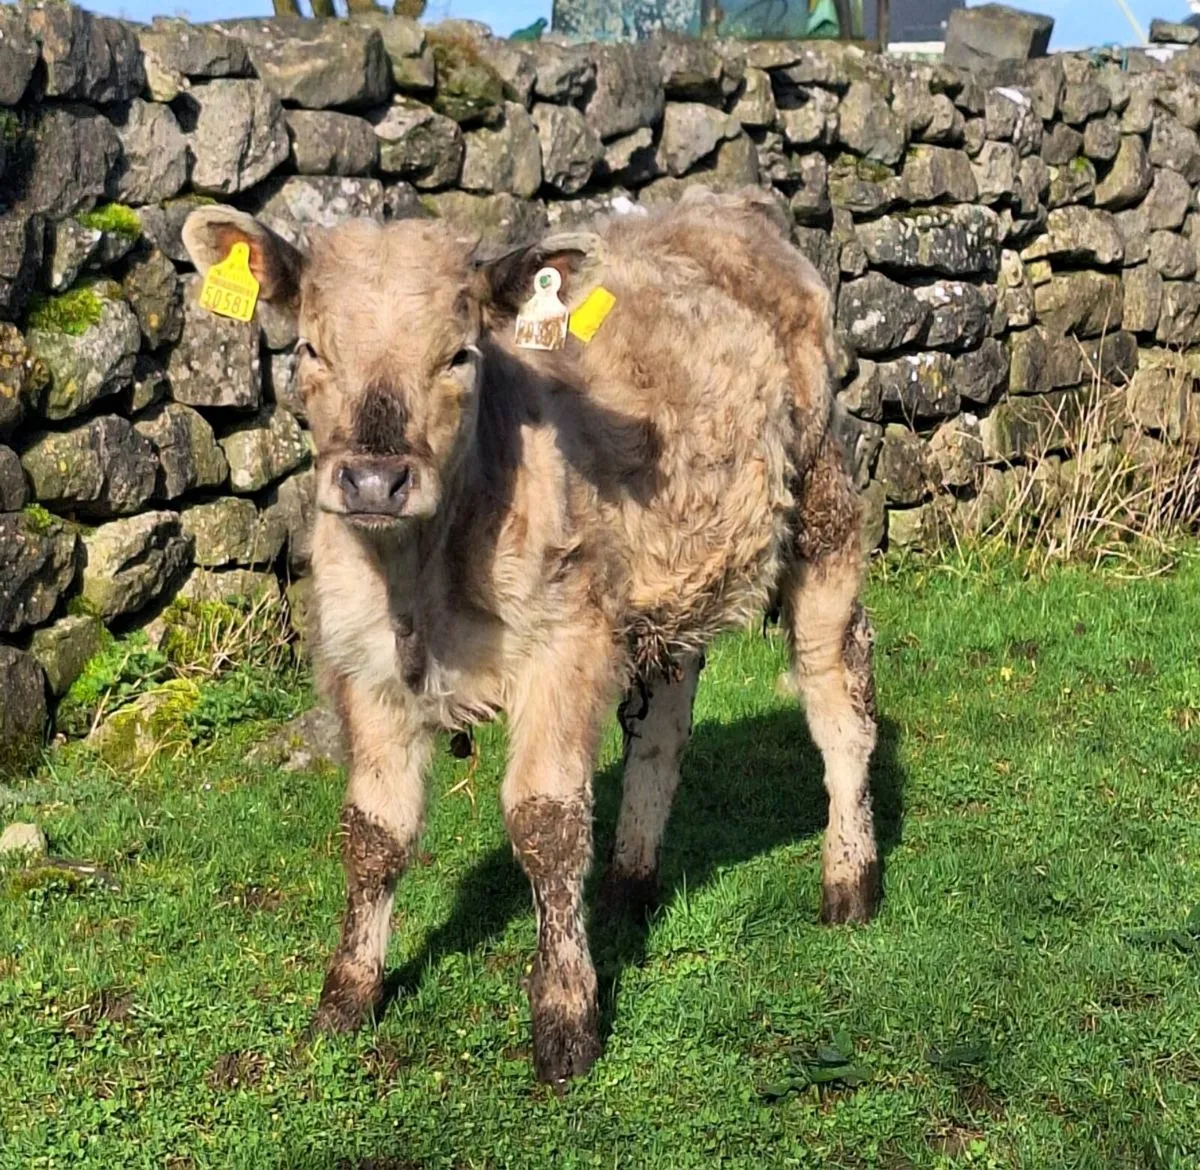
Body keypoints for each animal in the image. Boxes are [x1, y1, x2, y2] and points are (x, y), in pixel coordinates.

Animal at [182, 188, 879, 1085]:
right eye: (309, 348)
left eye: (459, 355)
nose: (373, 480)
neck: (422, 580)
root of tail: (726, 203)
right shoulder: (361, 665)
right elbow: (373, 834)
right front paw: (345, 999)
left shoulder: (563, 644)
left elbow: (546, 824)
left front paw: (565, 1016)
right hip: (669, 578)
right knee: (664, 727)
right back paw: (629, 881)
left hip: (823, 505)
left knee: (838, 696)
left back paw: (849, 878)